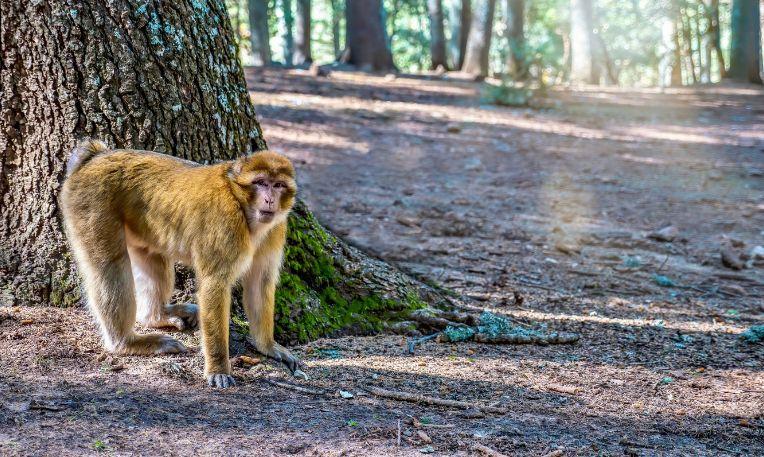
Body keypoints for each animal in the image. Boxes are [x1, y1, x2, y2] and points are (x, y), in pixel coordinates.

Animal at [61, 138, 300, 384]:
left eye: (278, 185)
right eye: (260, 183)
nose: (270, 200)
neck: (242, 206)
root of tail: (95, 157)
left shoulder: (275, 229)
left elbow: (260, 283)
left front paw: (268, 346)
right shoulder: (225, 225)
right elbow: (214, 285)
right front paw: (218, 368)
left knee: (153, 261)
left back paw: (156, 317)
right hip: (91, 204)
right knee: (111, 268)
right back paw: (125, 342)